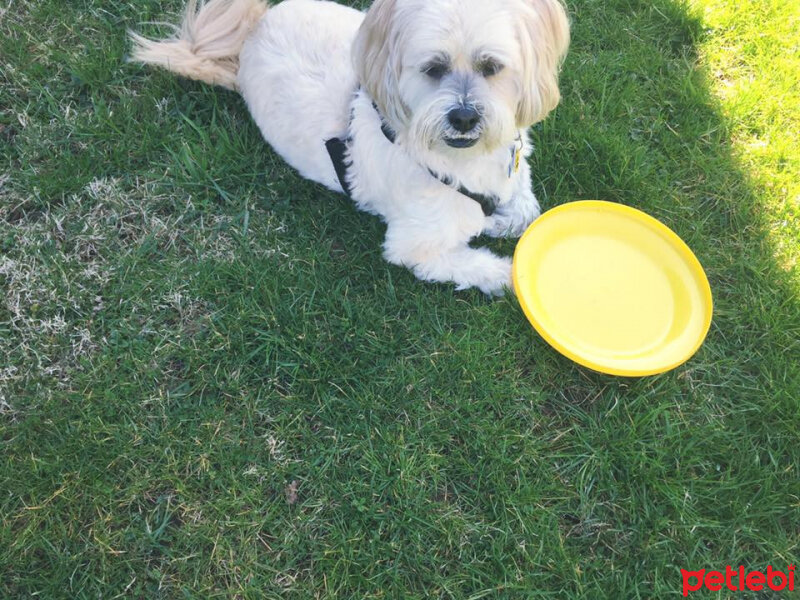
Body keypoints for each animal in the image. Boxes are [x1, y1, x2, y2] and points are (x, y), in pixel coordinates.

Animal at [131, 0, 568, 296]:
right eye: (433, 68)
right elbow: (484, 264)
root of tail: (252, 30)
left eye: (491, 67)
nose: (463, 117)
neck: (463, 159)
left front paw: (497, 221)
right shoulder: (413, 248)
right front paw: (507, 268)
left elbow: (527, 211)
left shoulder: (515, 169)